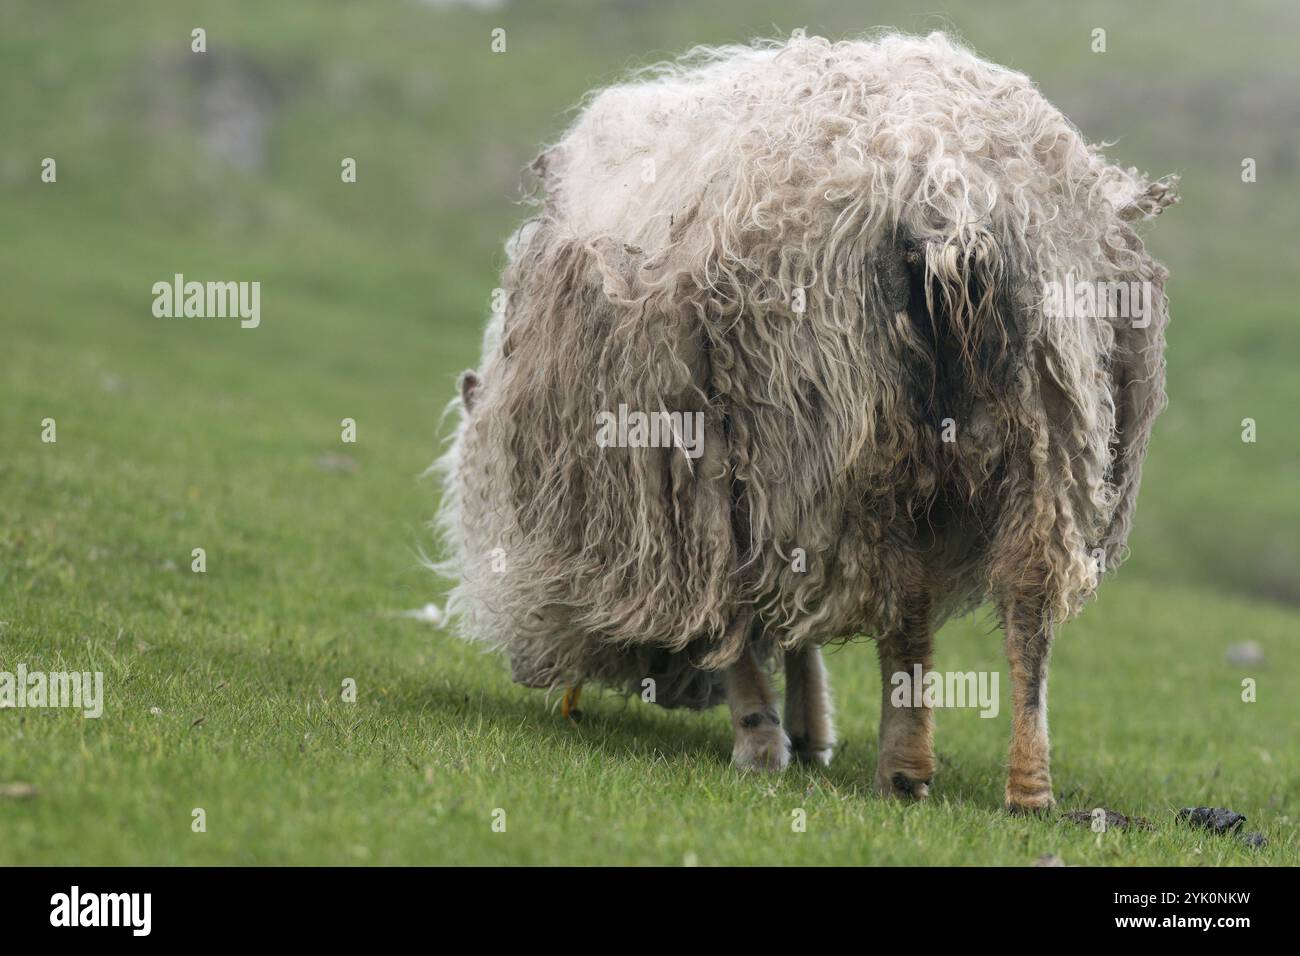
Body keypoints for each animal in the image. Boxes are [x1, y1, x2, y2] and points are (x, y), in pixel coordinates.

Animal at [436, 30, 1176, 811]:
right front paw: (807, 728)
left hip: (849, 424)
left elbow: (736, 618)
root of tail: (947, 187)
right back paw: (1027, 785)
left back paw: (904, 766)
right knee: (1029, 602)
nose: (529, 670)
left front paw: (762, 739)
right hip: (1049, 419)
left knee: (908, 600)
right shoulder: (783, 493)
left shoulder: (714, 488)